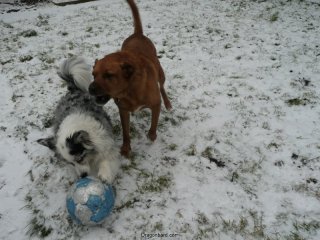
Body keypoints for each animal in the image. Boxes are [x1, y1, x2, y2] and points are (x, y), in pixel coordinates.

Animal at [37, 56, 117, 184]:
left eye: (80, 159)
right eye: (70, 163)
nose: (83, 176)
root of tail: (72, 90)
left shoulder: (106, 142)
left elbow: (108, 158)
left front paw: (105, 175)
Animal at [89, 0, 171, 157]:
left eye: (109, 75)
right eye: (93, 74)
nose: (90, 88)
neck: (130, 90)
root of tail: (137, 34)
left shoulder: (155, 104)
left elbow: (154, 123)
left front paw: (152, 135)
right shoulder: (123, 110)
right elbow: (126, 132)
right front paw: (126, 148)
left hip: (160, 73)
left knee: (162, 87)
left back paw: (168, 103)